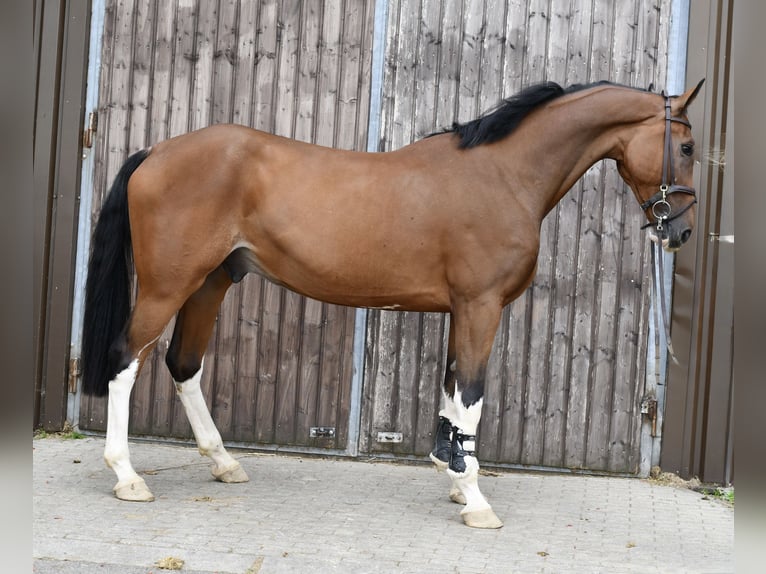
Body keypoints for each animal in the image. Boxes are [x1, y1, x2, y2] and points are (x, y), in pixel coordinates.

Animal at [81, 79, 704, 529]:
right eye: (689, 146)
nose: (680, 233)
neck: (503, 173)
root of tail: (157, 150)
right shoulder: (481, 306)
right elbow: (472, 397)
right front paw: (476, 501)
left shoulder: (462, 310)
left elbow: (453, 397)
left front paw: (454, 480)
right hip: (168, 286)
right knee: (125, 361)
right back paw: (128, 477)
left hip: (211, 282)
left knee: (184, 365)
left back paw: (225, 464)